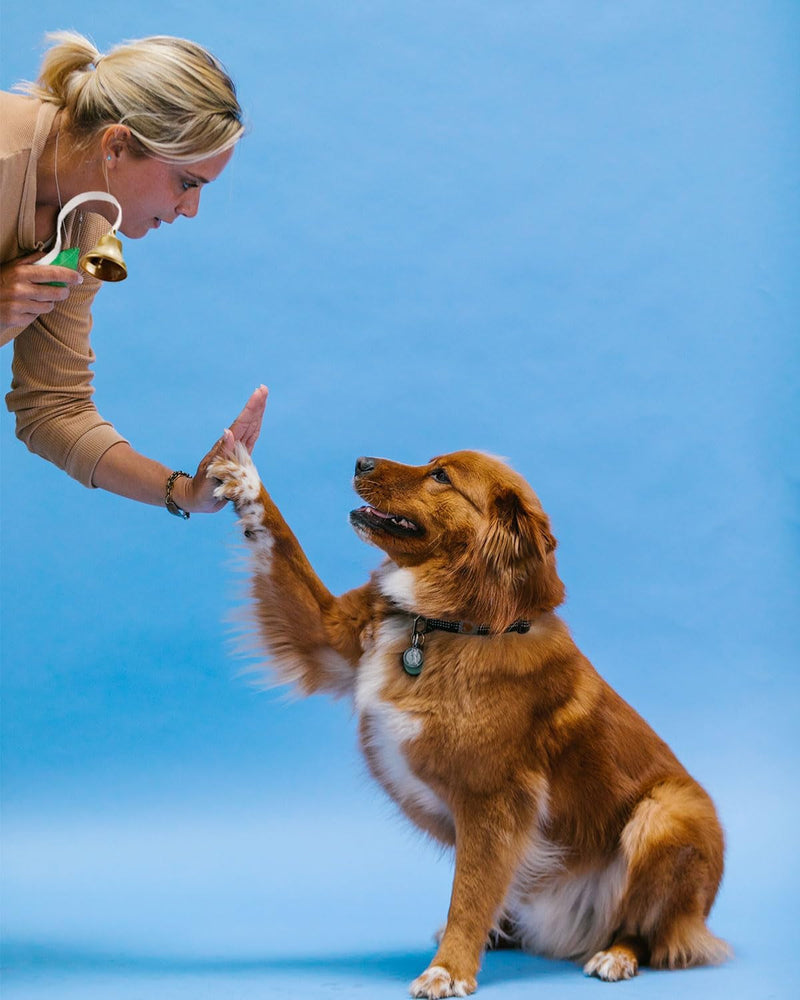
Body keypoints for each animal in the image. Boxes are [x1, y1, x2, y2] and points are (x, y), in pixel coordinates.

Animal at [208, 448, 732, 1000]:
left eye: (441, 476)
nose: (360, 461)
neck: (446, 625)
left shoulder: (493, 801)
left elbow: (469, 893)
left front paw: (448, 968)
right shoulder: (326, 633)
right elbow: (280, 539)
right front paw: (242, 476)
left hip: (667, 812)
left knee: (648, 928)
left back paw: (615, 954)